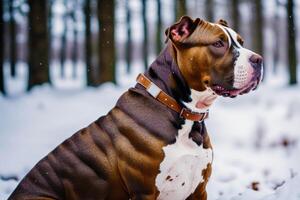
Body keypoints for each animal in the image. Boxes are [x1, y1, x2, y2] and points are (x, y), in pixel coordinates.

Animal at [8, 16, 262, 200]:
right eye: (218, 43)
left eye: (241, 42)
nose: (259, 59)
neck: (181, 111)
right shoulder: (145, 192)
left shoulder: (199, 190)